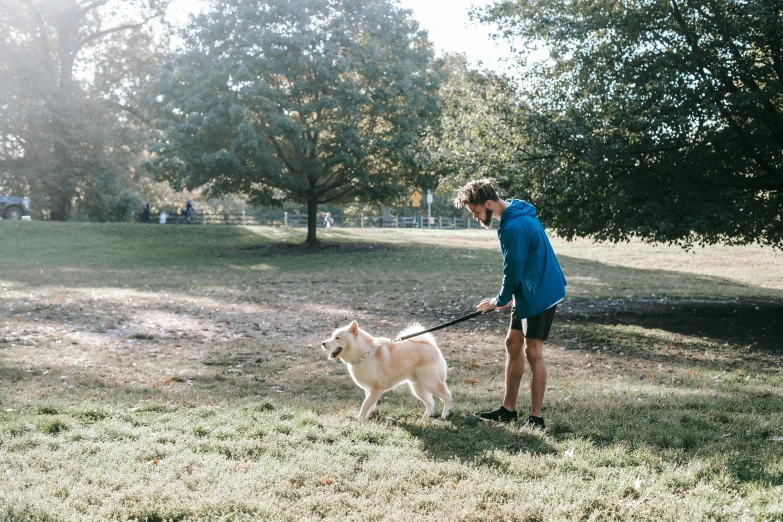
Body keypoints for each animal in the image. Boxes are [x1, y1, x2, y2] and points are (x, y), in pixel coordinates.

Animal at [322, 320, 450, 418]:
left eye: (337, 338)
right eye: (332, 336)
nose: (323, 343)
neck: (364, 353)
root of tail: (431, 346)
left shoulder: (377, 388)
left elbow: (366, 404)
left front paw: (360, 418)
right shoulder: (369, 389)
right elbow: (370, 403)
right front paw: (369, 415)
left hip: (431, 383)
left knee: (447, 396)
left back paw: (444, 415)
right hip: (418, 387)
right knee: (430, 402)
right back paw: (426, 416)